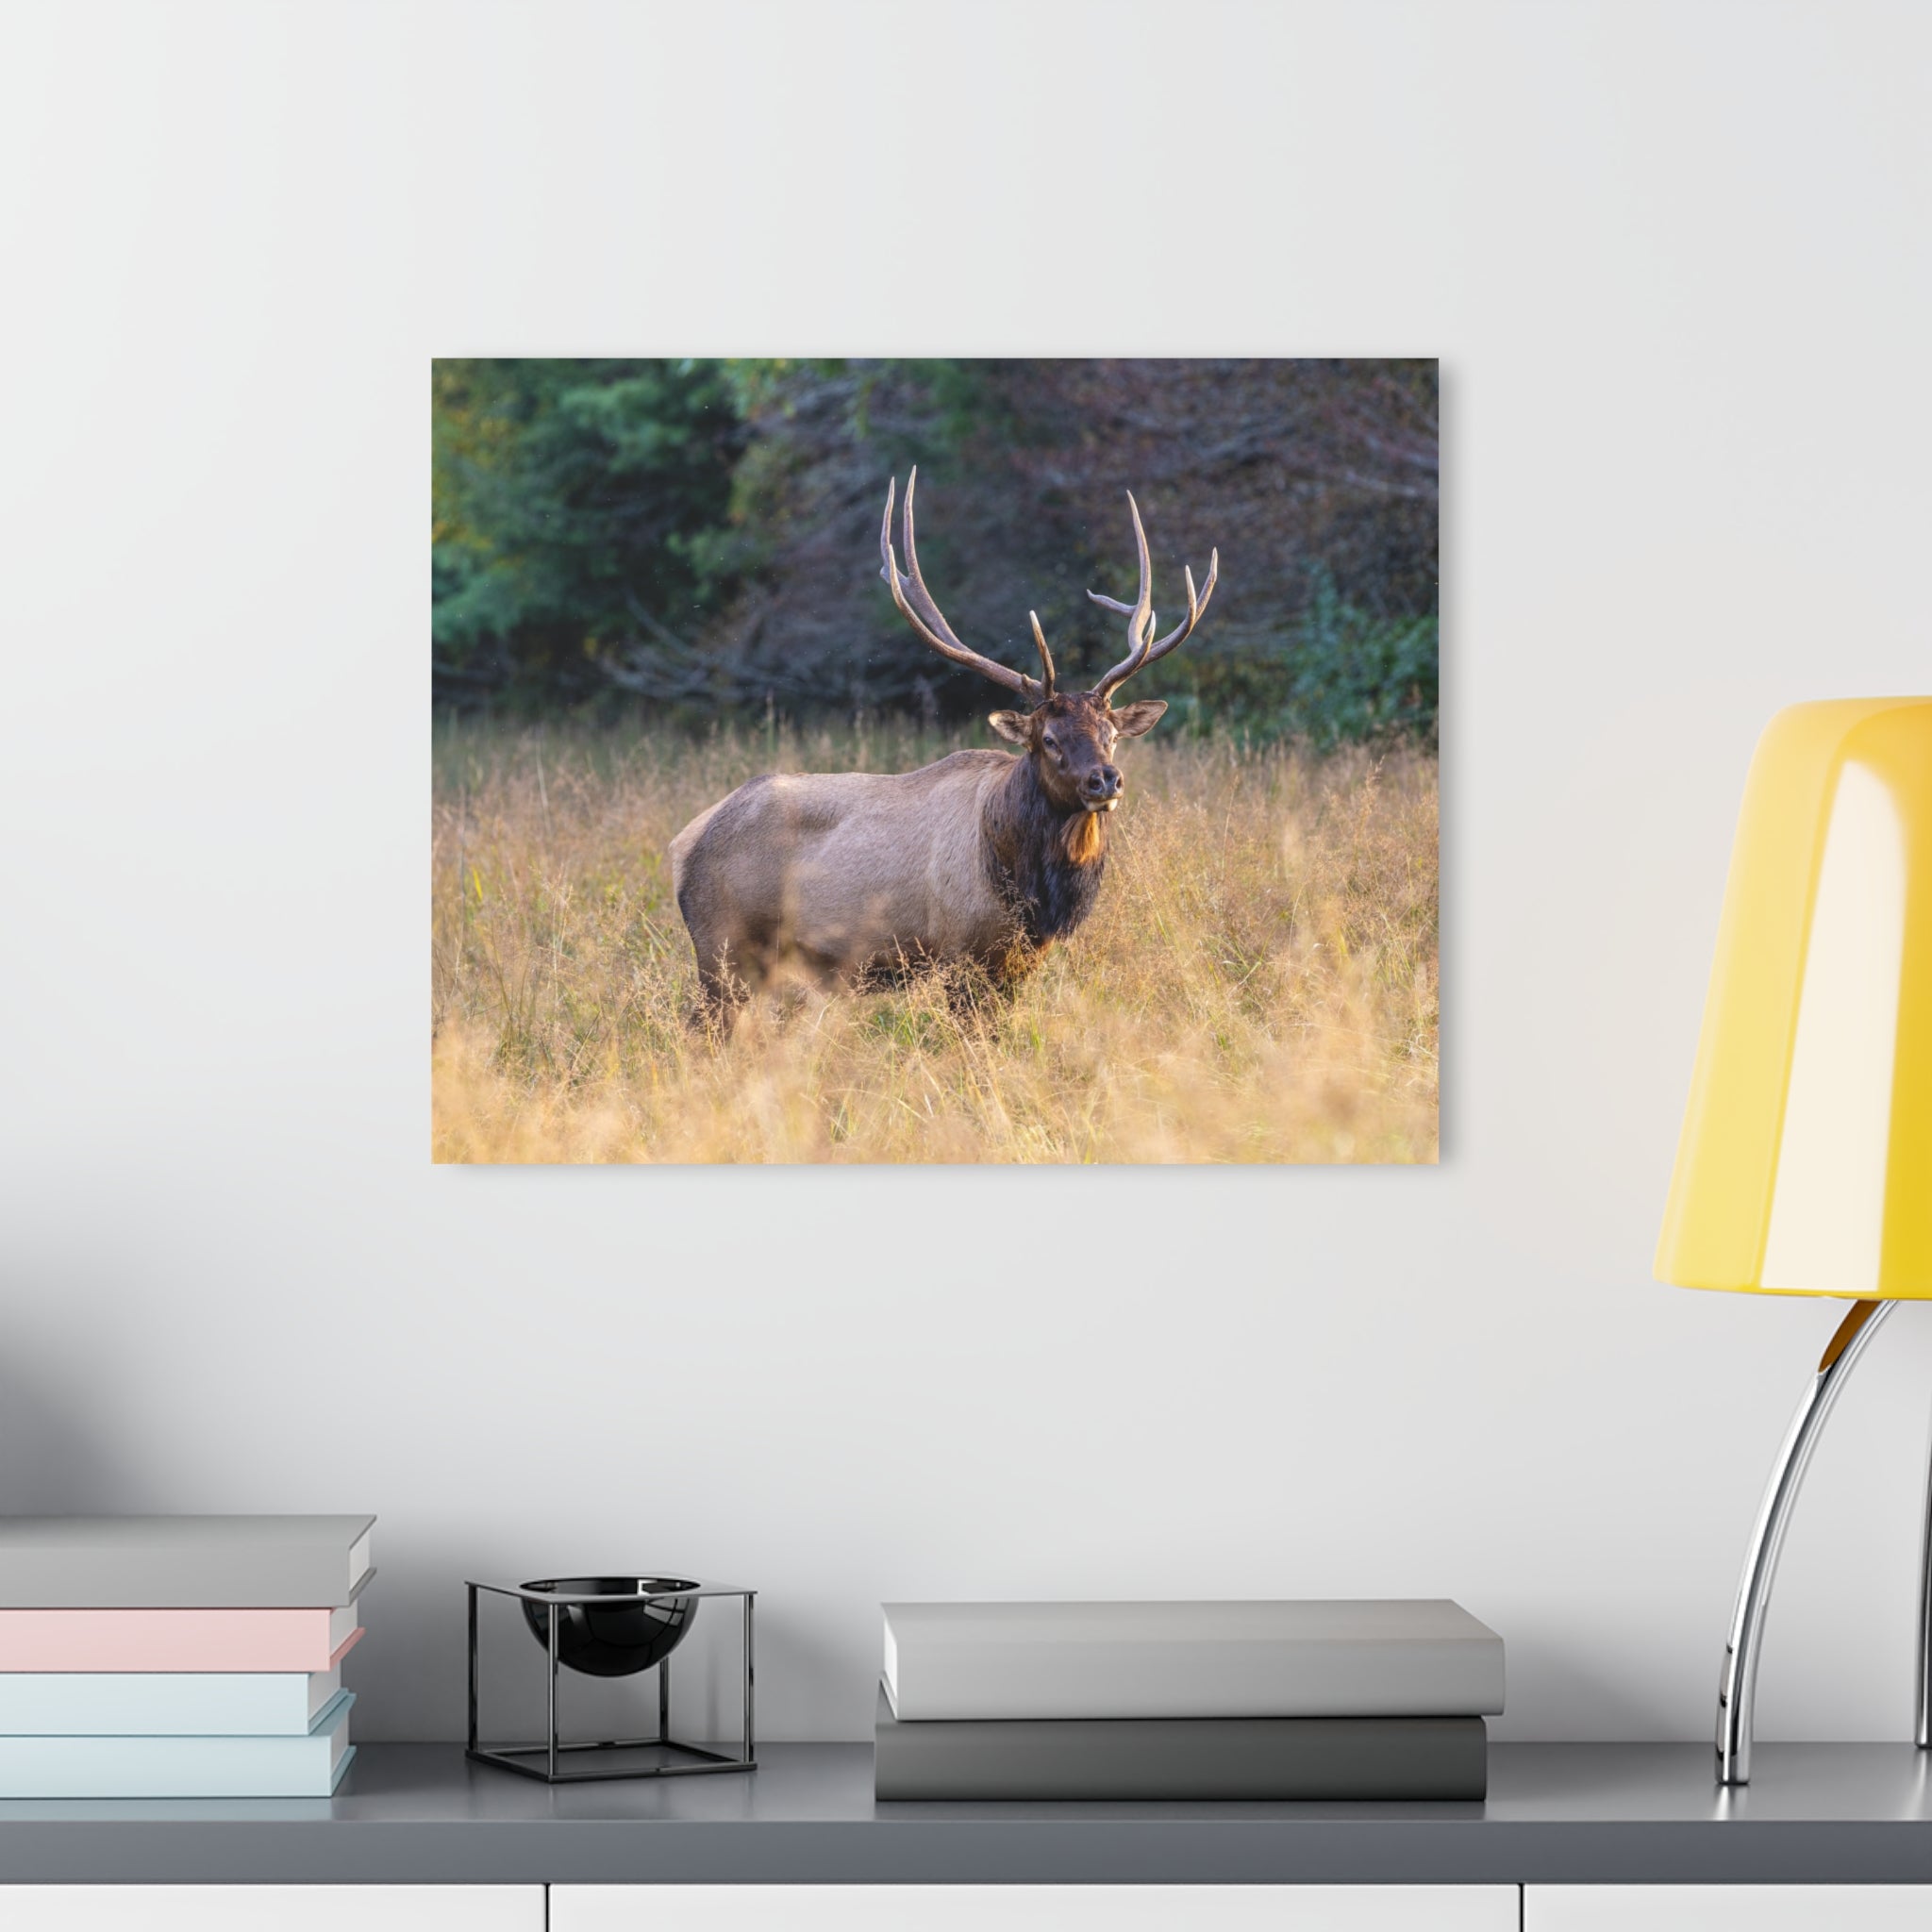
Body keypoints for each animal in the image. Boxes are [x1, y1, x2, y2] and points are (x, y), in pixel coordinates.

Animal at [669, 470, 1219, 1018]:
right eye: (1049, 738)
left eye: (1112, 735)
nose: (1105, 780)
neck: (1027, 887)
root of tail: (683, 844)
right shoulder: (960, 954)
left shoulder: (1018, 963)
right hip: (723, 947)